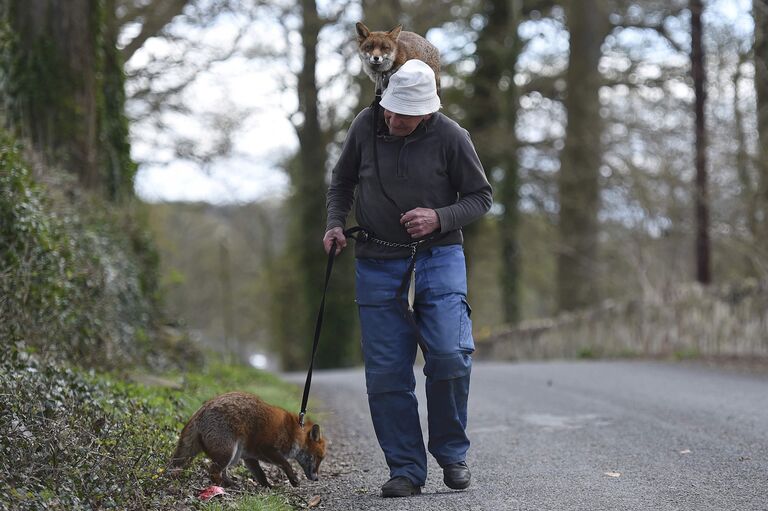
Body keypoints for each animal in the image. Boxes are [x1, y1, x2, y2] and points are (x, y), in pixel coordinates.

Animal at [168, 394, 324, 490]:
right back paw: (222, 487)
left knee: (222, 472)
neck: (294, 433)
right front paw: (293, 479)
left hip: (233, 456)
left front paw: (269, 487)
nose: (317, 479)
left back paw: (230, 483)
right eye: (318, 457)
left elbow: (261, 476)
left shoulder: (250, 458)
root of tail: (201, 410)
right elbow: (286, 464)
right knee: (212, 472)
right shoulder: (267, 448)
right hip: (228, 453)